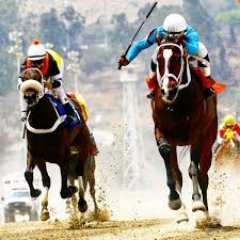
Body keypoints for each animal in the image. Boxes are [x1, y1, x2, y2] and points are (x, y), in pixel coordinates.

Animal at [19, 68, 98, 221]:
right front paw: (43, 207)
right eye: (23, 78)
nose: (29, 97)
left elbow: (64, 189)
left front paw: (71, 191)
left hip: (84, 148)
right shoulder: (37, 155)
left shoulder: (63, 156)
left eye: (37, 78)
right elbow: (41, 178)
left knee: (82, 175)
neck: (42, 122)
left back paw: (84, 204)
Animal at [152, 36, 218, 222]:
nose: (168, 90)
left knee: (203, 176)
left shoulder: (197, 132)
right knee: (179, 172)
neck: (176, 103)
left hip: (209, 139)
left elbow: (193, 168)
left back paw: (206, 215)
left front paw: (197, 203)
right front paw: (175, 202)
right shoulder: (161, 130)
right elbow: (171, 166)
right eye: (158, 60)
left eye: (177, 58)